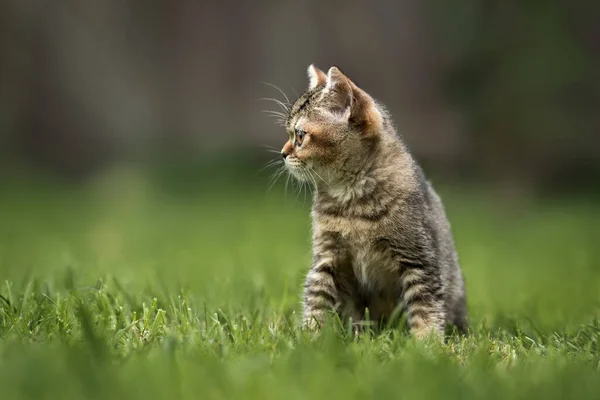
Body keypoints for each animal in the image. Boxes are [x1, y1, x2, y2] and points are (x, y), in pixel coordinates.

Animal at [278, 65, 468, 338]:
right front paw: (312, 338)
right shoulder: (326, 258)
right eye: (289, 134)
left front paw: (426, 342)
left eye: (300, 136)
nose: (282, 153)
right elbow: (316, 300)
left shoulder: (418, 257)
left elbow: (425, 306)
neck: (352, 204)